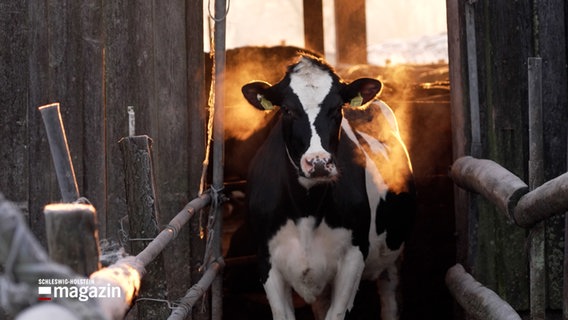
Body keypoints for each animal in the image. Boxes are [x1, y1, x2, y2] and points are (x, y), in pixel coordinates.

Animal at [241, 53, 418, 318]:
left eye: (337, 108)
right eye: (287, 109)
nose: (319, 162)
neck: (306, 208)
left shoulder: (354, 256)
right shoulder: (266, 259)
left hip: (394, 254)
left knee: (390, 300)